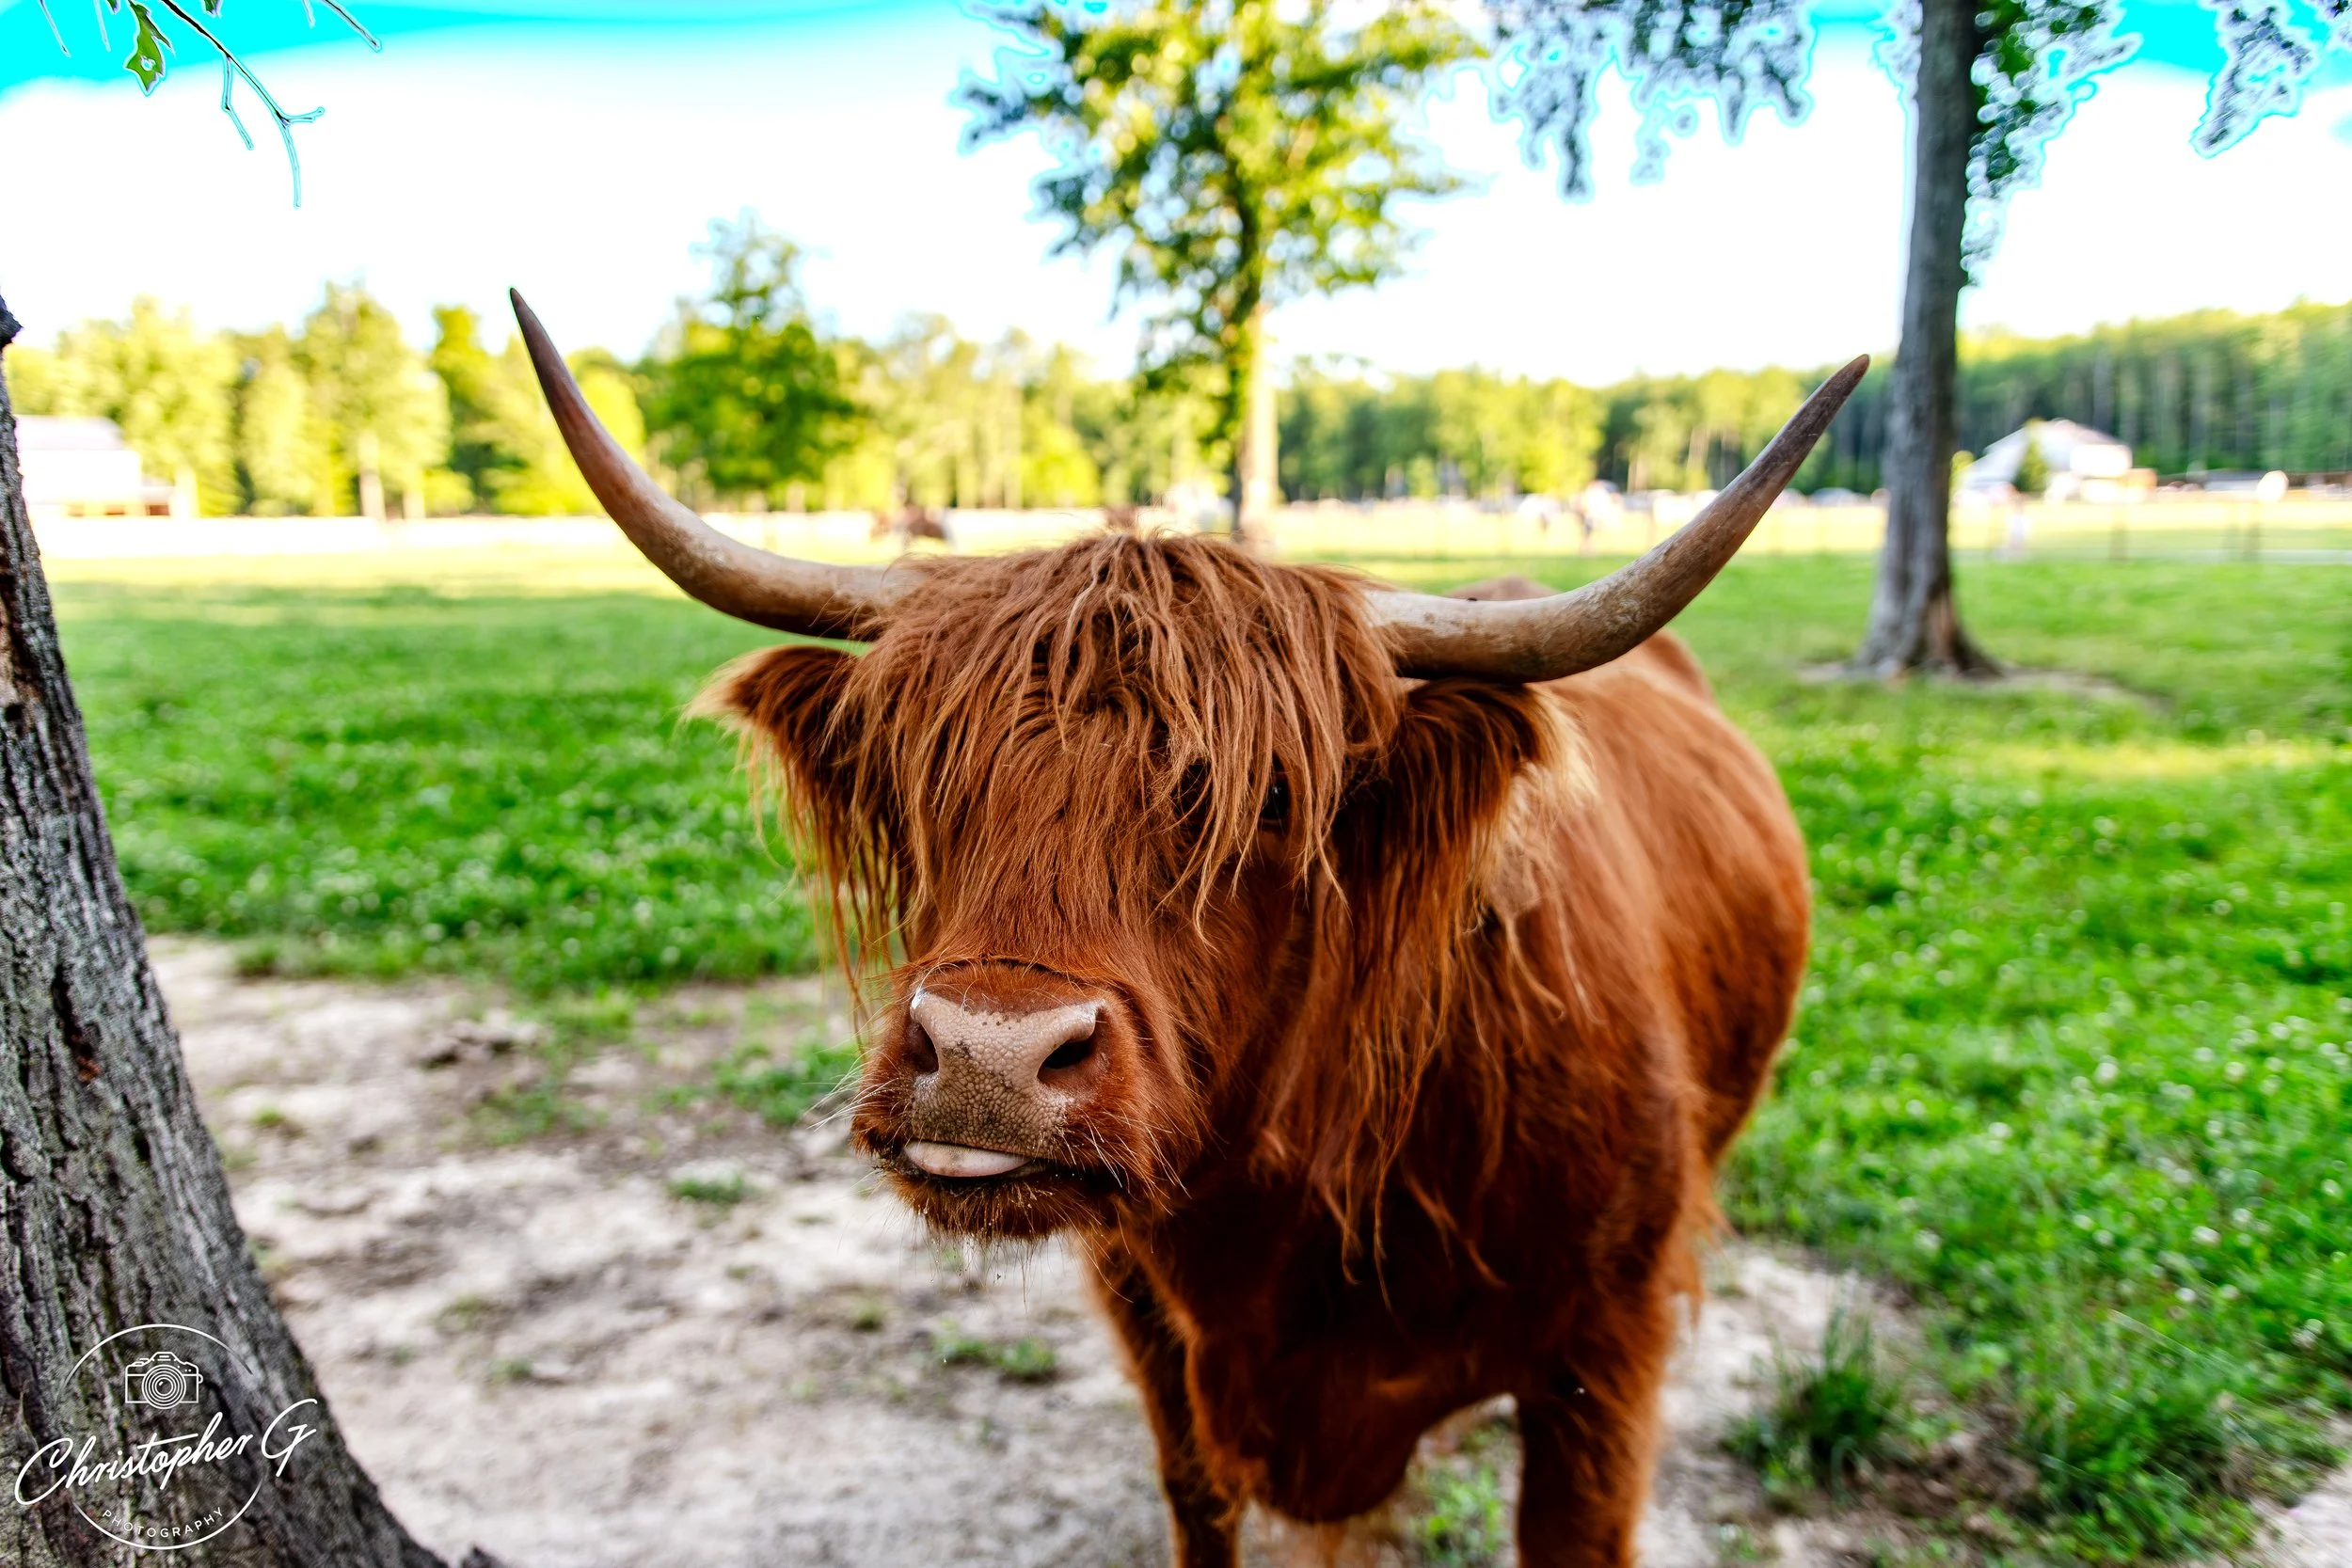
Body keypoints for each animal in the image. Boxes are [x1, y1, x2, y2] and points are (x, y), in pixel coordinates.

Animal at [511, 290, 1862, 1566]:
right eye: (925, 774)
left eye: (1269, 800)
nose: (990, 1058)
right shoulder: (1157, 1337)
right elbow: (1196, 1504)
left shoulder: (1604, 1359)